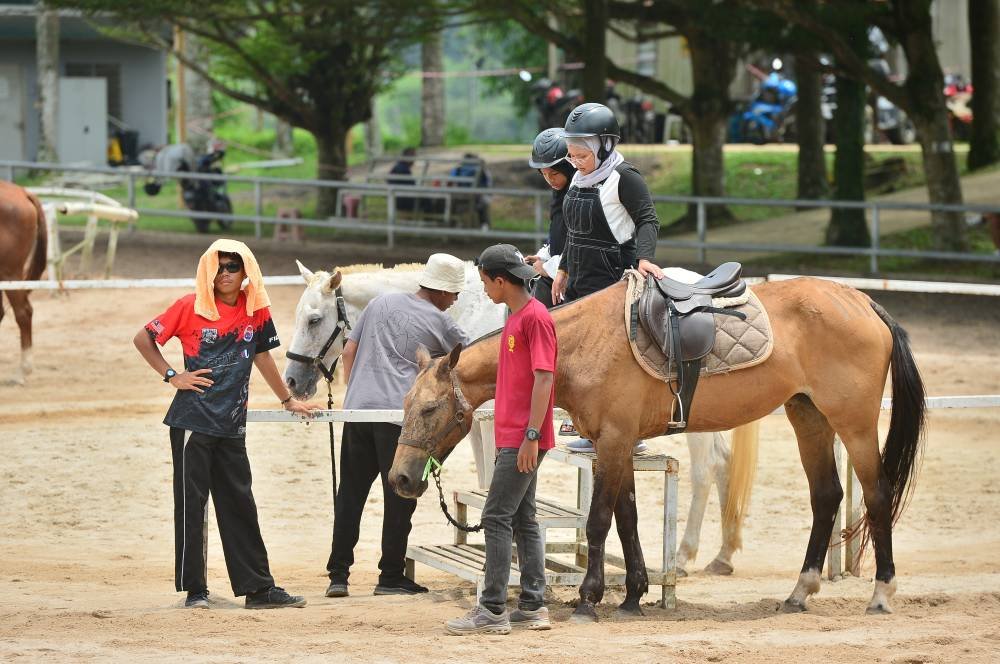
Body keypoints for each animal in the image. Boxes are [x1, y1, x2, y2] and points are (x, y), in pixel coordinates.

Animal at [282, 260, 756, 576]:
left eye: (314, 319)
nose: (291, 379)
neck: (469, 312)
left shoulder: (493, 416)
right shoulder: (475, 417)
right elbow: (485, 473)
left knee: (706, 469)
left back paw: (685, 554)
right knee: (723, 465)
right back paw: (723, 554)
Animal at [386, 274, 924, 616]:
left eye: (429, 409)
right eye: (405, 403)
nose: (400, 477)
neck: (581, 344)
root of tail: (862, 302)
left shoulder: (614, 441)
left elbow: (600, 522)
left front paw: (589, 598)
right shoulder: (618, 444)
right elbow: (627, 519)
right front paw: (633, 595)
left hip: (854, 425)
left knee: (876, 496)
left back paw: (881, 593)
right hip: (808, 416)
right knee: (827, 497)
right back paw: (800, 590)